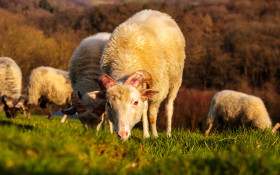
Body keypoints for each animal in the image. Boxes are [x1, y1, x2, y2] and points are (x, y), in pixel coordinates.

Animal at [88, 9, 186, 141]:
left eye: (135, 102)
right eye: (108, 103)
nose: (122, 134)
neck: (126, 60)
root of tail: (153, 11)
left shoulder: (158, 91)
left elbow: (152, 115)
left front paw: (155, 135)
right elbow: (144, 111)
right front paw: (146, 135)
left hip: (176, 80)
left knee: (168, 106)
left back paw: (168, 133)